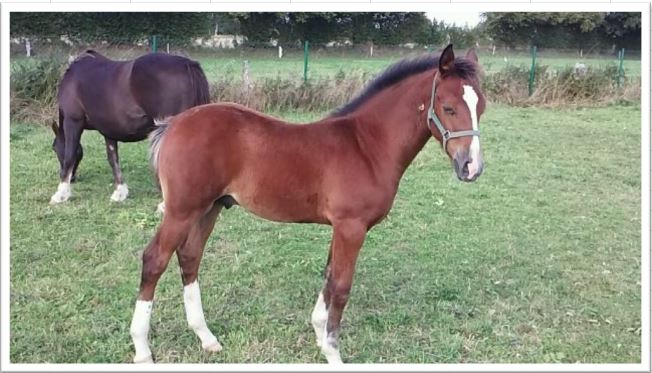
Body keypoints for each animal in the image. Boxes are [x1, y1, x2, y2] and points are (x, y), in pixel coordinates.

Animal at [50, 49, 210, 203]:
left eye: (55, 148)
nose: (73, 178)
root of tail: (187, 64)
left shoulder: (72, 121)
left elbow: (70, 154)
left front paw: (61, 194)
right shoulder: (108, 130)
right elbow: (113, 159)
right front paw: (120, 192)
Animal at [129, 44, 484, 364]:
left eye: (481, 107)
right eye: (449, 107)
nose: (471, 168)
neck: (367, 145)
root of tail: (172, 124)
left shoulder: (340, 227)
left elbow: (328, 275)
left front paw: (319, 334)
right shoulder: (351, 227)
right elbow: (341, 285)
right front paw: (333, 352)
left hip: (210, 207)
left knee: (190, 257)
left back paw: (207, 338)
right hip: (182, 210)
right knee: (154, 259)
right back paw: (143, 349)